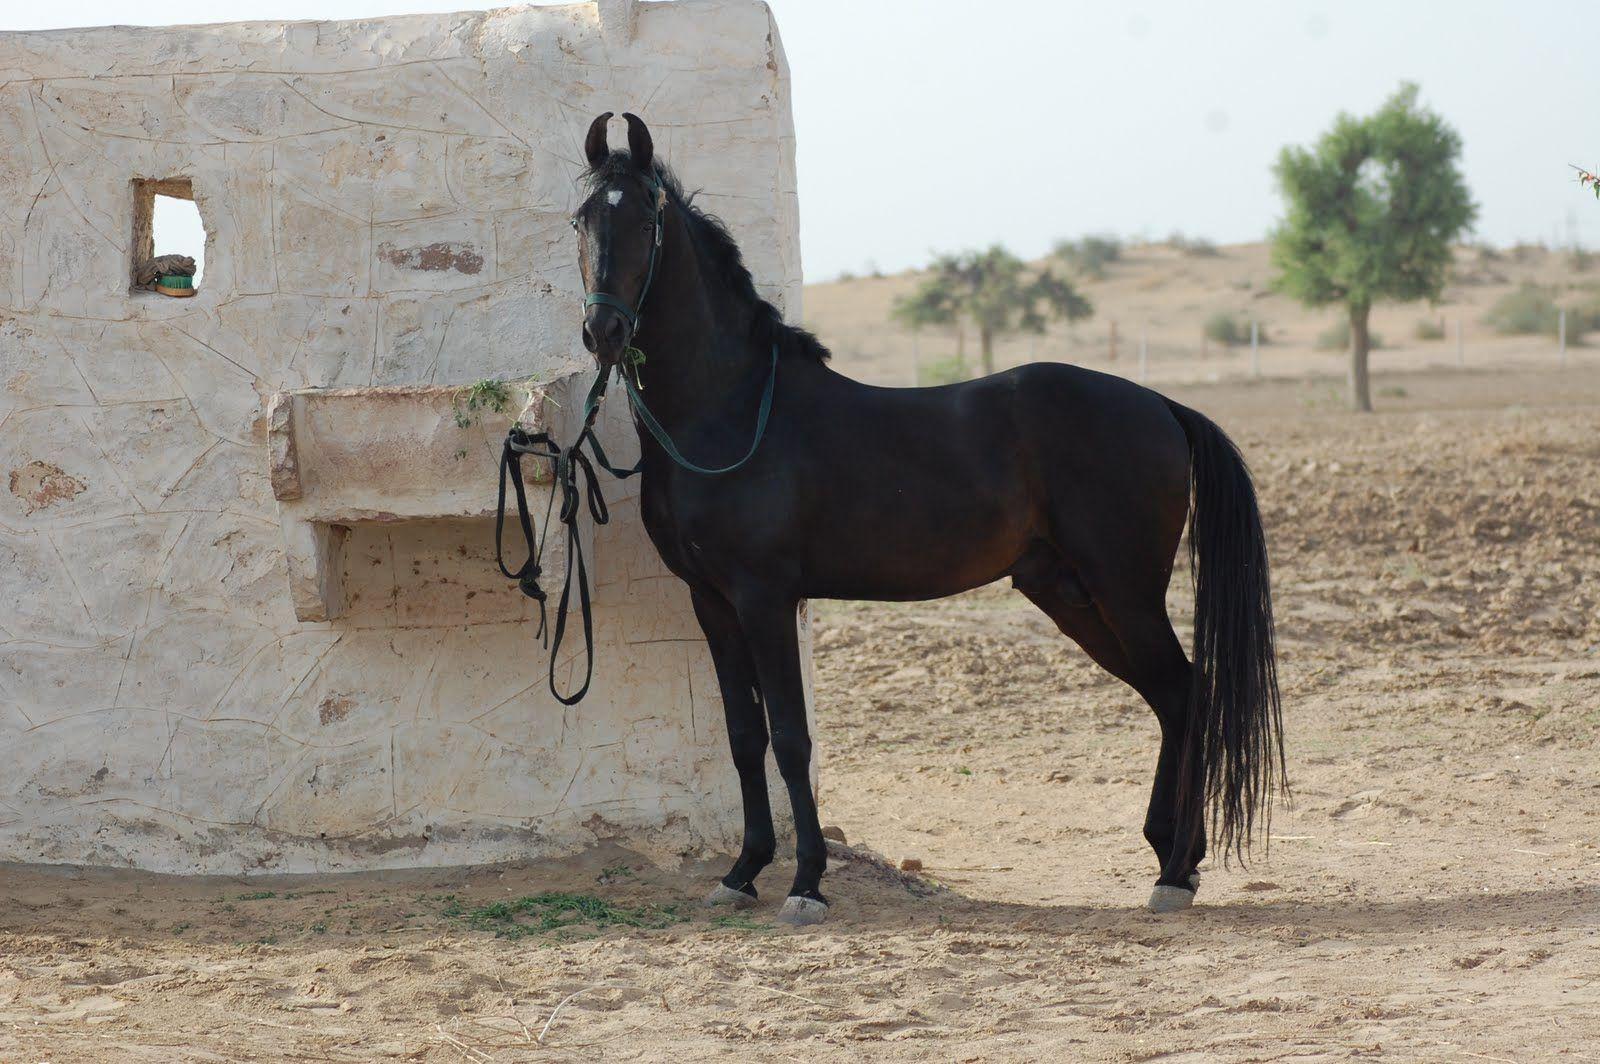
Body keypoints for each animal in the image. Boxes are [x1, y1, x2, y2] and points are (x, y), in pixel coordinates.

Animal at [567, 112, 1284, 926]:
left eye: (644, 221)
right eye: (582, 219)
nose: (603, 333)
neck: (732, 411)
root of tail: (1162, 405)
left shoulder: (766, 597)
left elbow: (791, 738)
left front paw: (806, 883)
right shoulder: (711, 600)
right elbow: (744, 736)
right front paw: (743, 871)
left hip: (1124, 591)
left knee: (1186, 694)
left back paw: (1174, 872)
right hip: (1071, 594)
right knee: (1171, 698)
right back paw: (1175, 860)